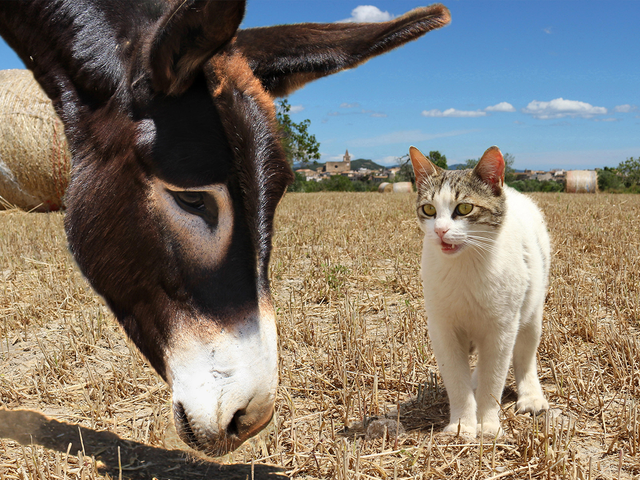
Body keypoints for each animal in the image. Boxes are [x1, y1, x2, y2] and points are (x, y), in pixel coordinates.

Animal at [410, 144, 552, 436]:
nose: (440, 231)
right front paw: (462, 424)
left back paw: (531, 395)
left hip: (531, 314)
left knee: (525, 356)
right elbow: (456, 380)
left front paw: (487, 424)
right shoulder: (443, 329)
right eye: (429, 209)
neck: (465, 266)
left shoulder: (501, 330)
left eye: (464, 208)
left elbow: (493, 378)